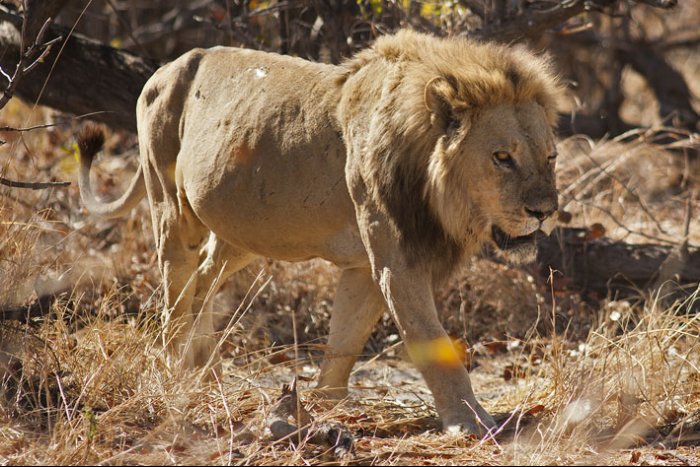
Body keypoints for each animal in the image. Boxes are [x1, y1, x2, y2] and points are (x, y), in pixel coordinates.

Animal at [78, 29, 564, 436]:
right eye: (502, 157)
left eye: (551, 157)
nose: (545, 212)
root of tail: (164, 67)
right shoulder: (396, 262)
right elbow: (432, 343)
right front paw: (471, 421)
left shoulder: (367, 267)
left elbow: (345, 342)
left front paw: (325, 407)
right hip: (172, 209)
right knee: (175, 295)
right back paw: (177, 372)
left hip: (241, 232)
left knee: (203, 280)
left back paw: (206, 368)